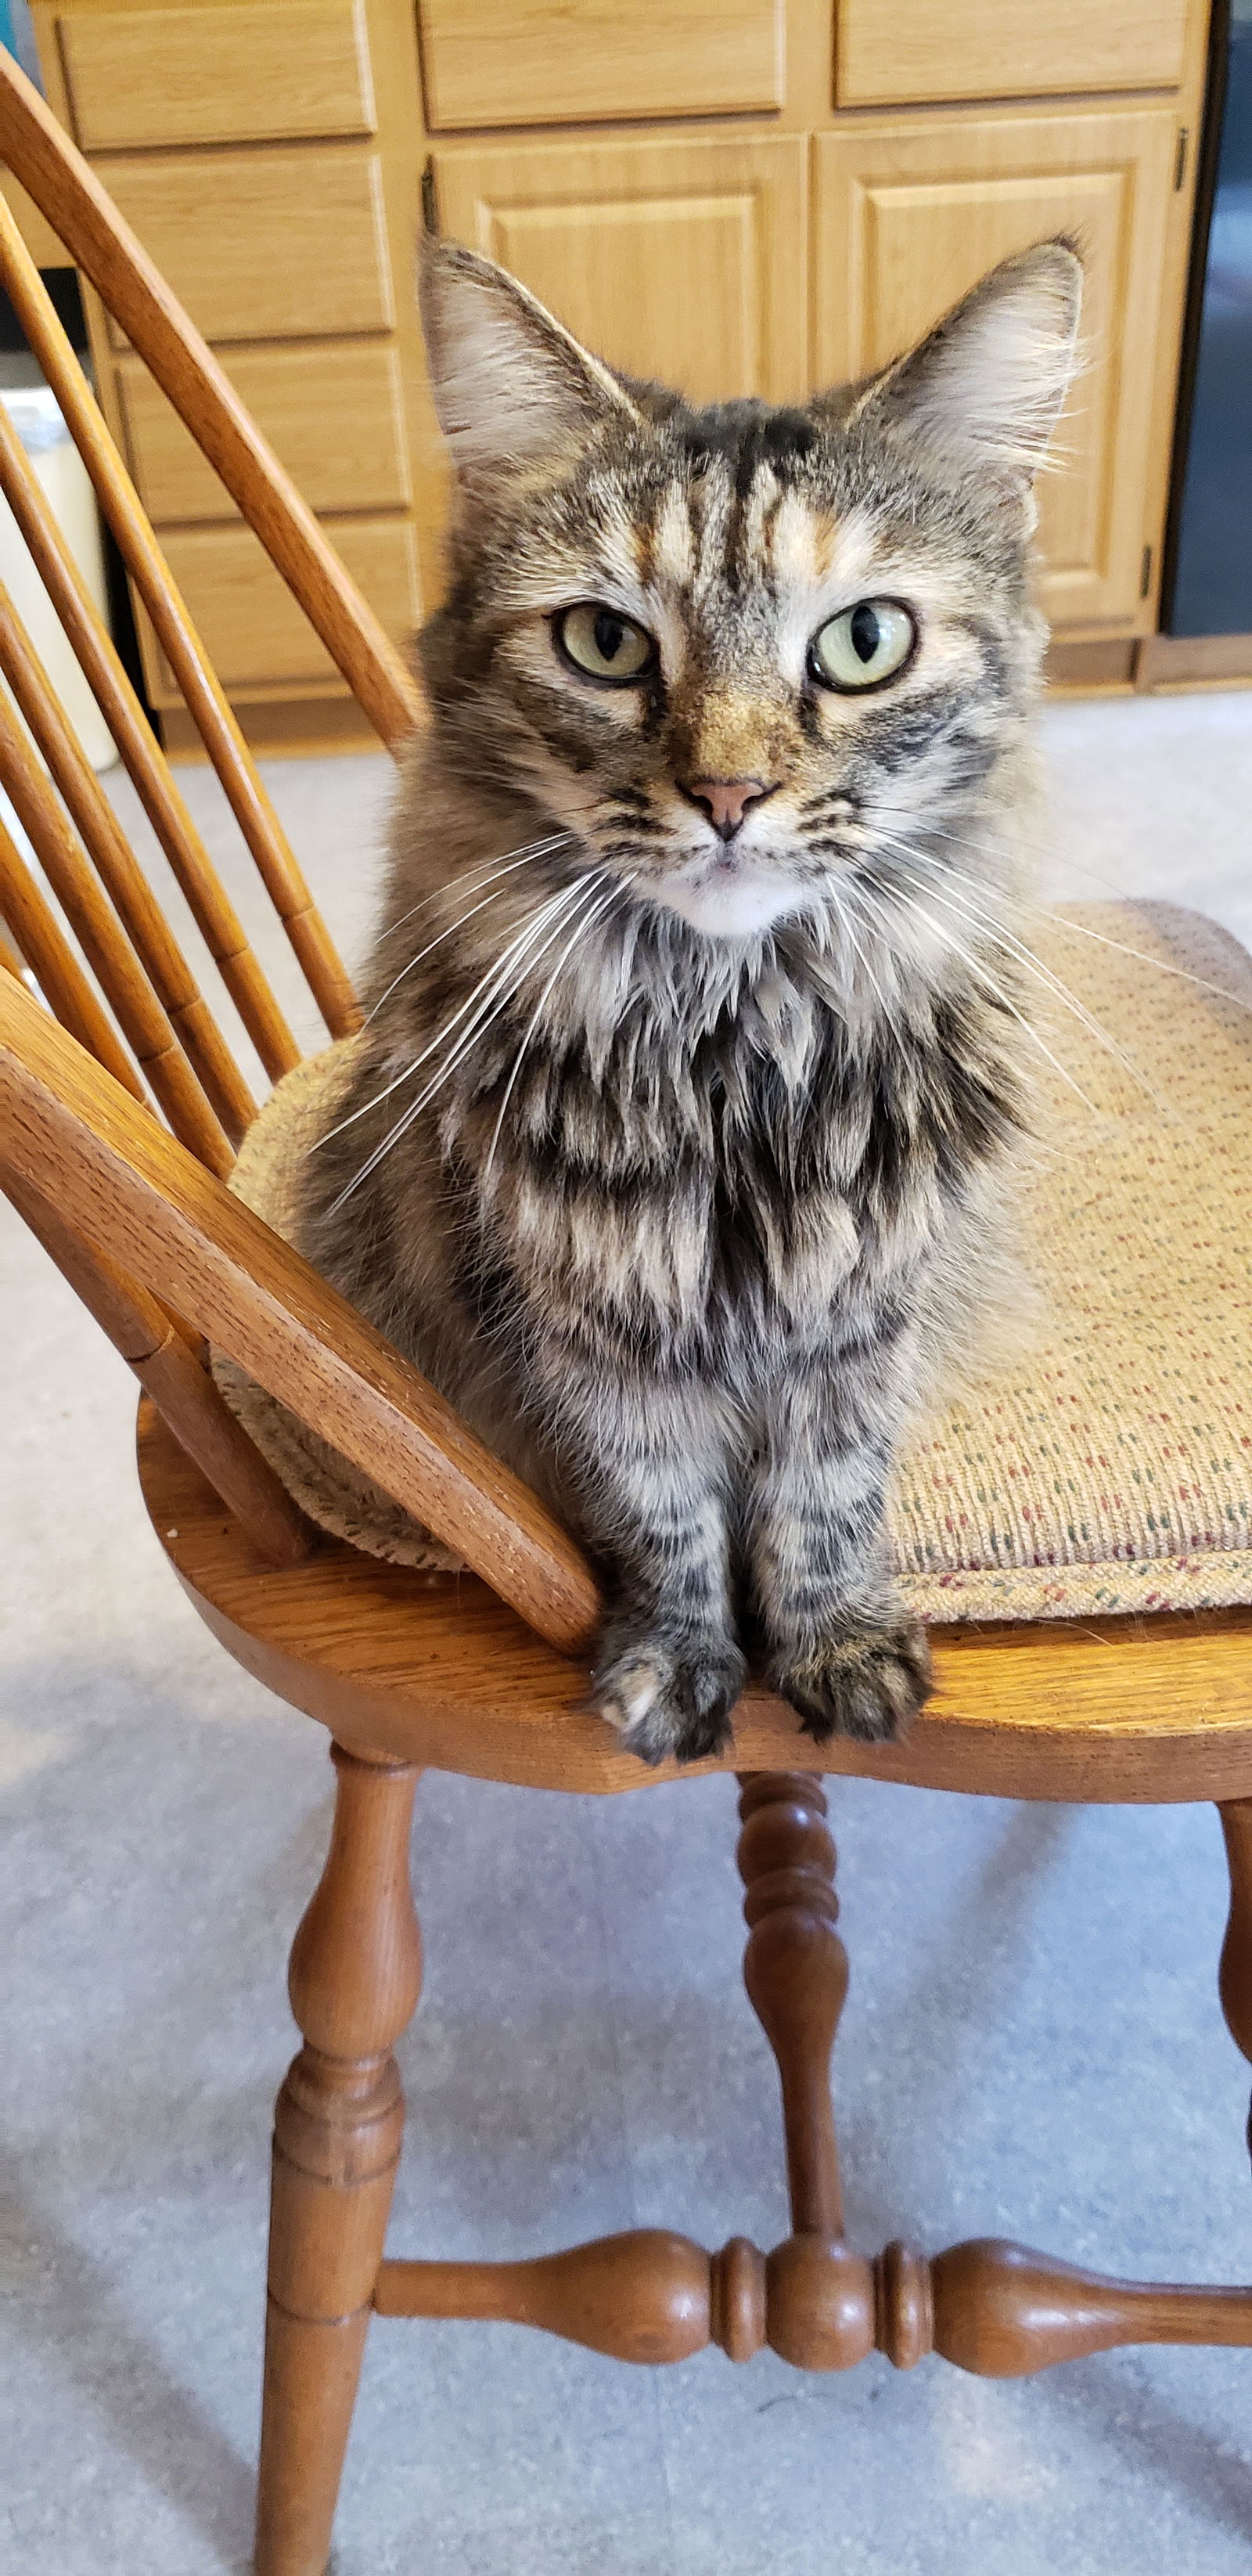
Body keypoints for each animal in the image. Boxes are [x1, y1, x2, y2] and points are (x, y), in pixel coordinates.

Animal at [298, 236, 1081, 1772]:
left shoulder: (861, 1317)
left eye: (864, 642)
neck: (732, 1054)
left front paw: (835, 1650)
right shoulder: (584, 1327)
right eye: (606, 643)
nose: (728, 794)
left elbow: (823, 1502)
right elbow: (662, 1516)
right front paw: (680, 1668)